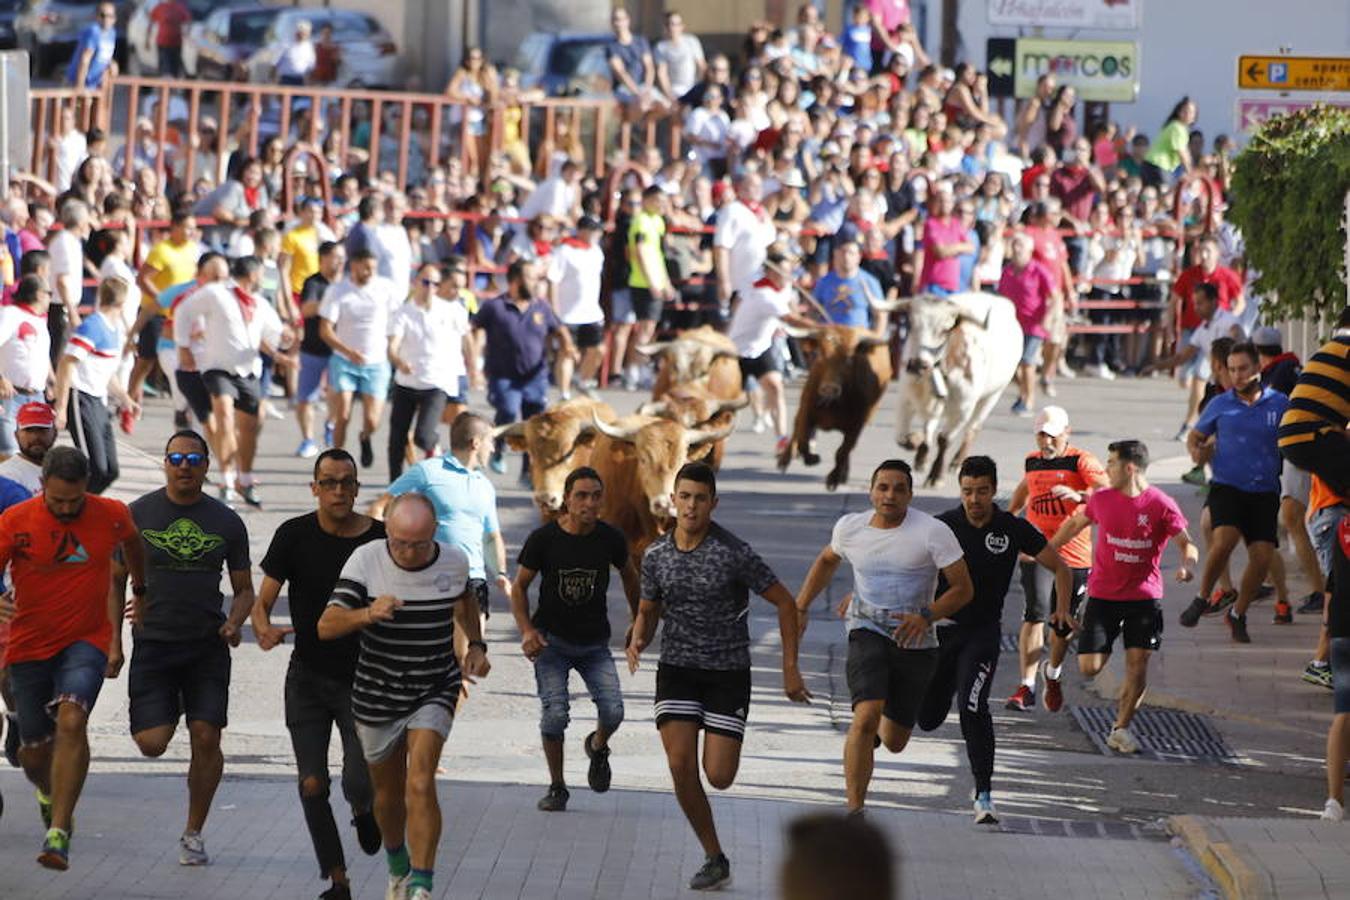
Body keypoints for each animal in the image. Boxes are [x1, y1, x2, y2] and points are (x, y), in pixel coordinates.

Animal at [777, 325, 891, 493]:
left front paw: (834, 479)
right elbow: (803, 438)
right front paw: (812, 458)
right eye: (820, 353)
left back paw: (842, 474)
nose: (829, 389)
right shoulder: (806, 411)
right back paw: (784, 460)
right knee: (796, 429)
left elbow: (842, 451)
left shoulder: (857, 425)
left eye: (849, 358)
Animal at [880, 292, 1015, 488]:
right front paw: (917, 441)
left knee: (972, 428)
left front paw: (936, 476)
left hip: (992, 396)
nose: (917, 365)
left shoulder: (962, 410)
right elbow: (903, 438)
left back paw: (956, 462)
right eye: (911, 323)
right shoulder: (906, 398)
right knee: (930, 425)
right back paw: (921, 457)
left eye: (945, 330)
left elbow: (944, 439)